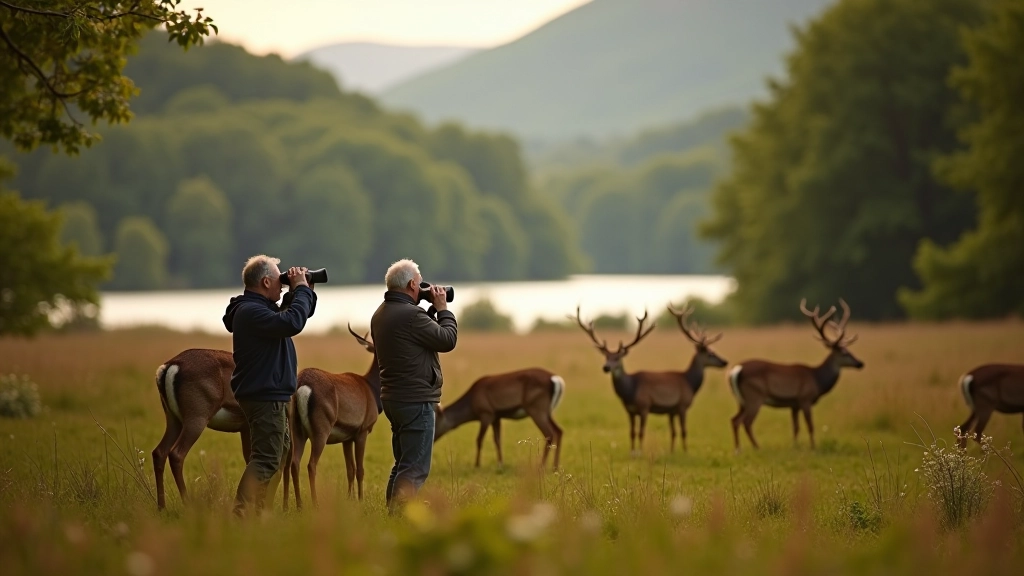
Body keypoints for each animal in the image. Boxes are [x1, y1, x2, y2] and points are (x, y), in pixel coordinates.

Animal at [152, 348, 248, 511]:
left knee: (159, 452)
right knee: (176, 454)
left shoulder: (246, 429)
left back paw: (162, 508)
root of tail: (170, 366)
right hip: (196, 419)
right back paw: (188, 504)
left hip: (173, 420)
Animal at [283, 324, 382, 508]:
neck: (371, 389)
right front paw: (360, 500)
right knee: (311, 464)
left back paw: (296, 505)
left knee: (292, 463)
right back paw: (315, 504)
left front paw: (350, 499)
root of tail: (301, 384)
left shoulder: (347, 438)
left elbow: (350, 469)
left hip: (296, 431)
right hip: (320, 431)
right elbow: (360, 469)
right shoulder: (362, 431)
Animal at [433, 368, 566, 470]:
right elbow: (497, 440)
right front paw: (500, 464)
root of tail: (556, 380)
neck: (471, 405)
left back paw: (541, 465)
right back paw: (555, 467)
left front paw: (477, 464)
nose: (432, 438)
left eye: (435, 422)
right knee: (559, 430)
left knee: (549, 433)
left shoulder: (486, 413)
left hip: (537, 409)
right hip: (547, 411)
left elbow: (479, 439)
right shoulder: (496, 417)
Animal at [574, 305, 724, 454]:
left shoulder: (650, 406)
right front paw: (633, 452)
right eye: (606, 357)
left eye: (617, 358)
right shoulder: (632, 410)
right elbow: (633, 432)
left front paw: (641, 452)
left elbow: (644, 432)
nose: (606, 367)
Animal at [728, 298, 864, 452]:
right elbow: (810, 426)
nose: (860, 363)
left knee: (734, 419)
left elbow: (796, 427)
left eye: (849, 350)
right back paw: (756, 447)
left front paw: (795, 446)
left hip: (741, 400)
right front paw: (813, 447)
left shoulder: (794, 405)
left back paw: (739, 449)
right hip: (755, 396)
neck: (817, 379)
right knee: (746, 421)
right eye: (844, 353)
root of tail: (736, 370)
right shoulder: (805, 399)